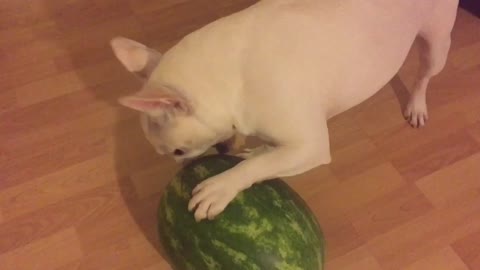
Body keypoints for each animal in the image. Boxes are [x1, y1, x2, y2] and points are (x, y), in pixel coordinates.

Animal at [110, 0, 460, 221]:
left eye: (178, 151)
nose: (183, 167)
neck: (230, 76)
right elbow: (265, 156)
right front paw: (252, 153)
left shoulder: (310, 147)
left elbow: (259, 165)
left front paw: (220, 187)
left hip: (437, 42)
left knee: (424, 75)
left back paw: (416, 105)